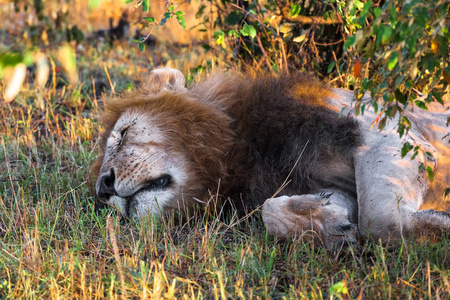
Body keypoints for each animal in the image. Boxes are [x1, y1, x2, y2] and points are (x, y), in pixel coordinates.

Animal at [92, 68, 450, 248]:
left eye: (122, 134)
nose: (103, 188)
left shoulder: (389, 133)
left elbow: (378, 221)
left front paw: (438, 226)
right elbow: (271, 211)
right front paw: (323, 223)